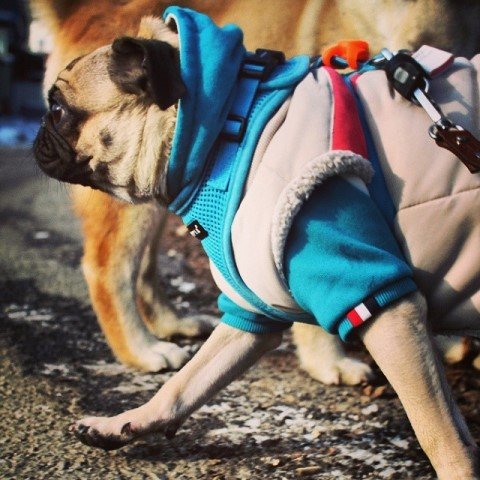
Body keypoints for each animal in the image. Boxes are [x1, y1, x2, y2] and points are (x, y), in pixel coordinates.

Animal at [33, 7, 480, 477]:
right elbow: (185, 384)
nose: (37, 129)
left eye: (58, 109)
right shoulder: (252, 313)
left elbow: (440, 433)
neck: (230, 124)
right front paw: (127, 422)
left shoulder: (380, 299)